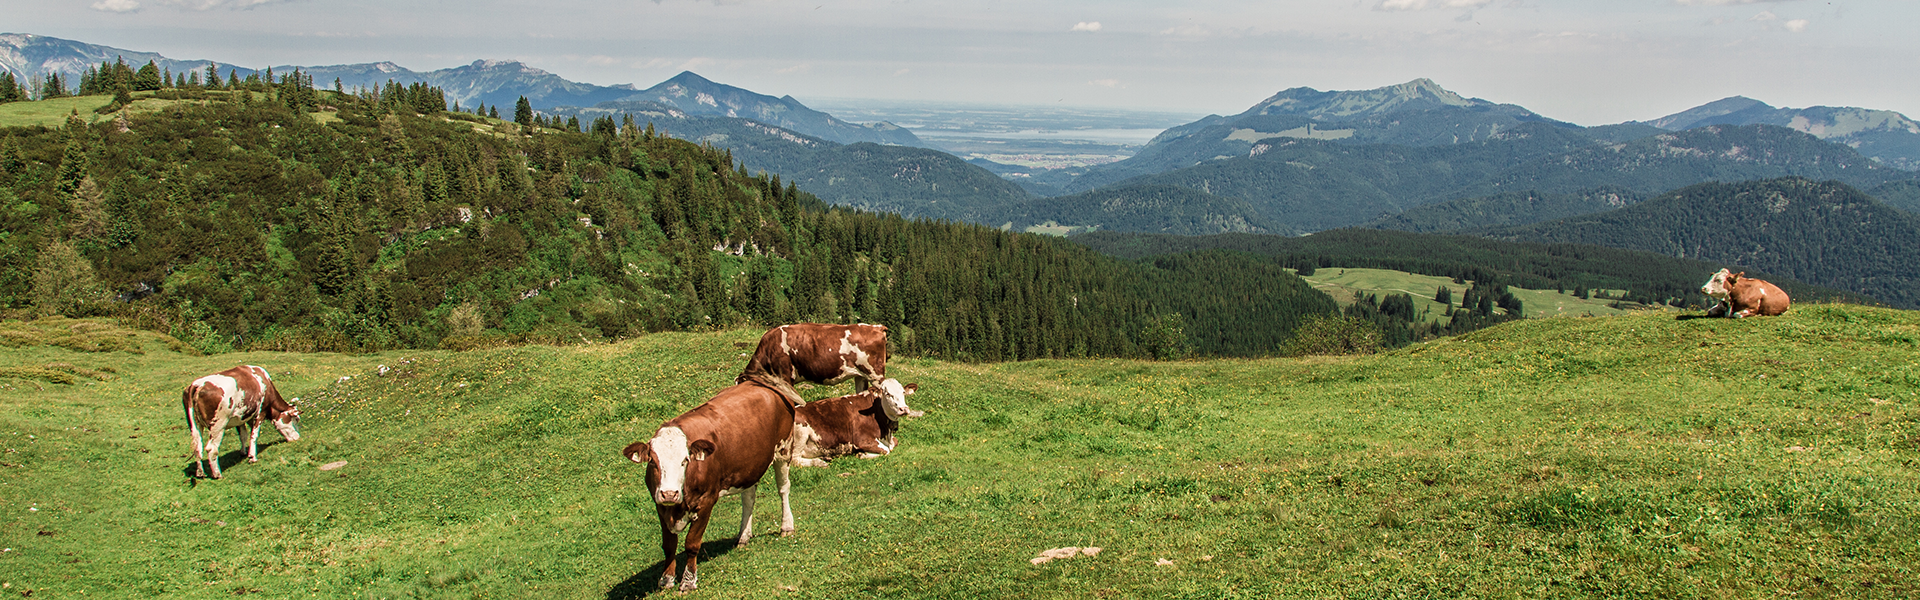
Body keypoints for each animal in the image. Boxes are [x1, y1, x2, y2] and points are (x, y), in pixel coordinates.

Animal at [623, 381, 797, 592]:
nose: (669, 494)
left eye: (685, 460)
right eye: (653, 462)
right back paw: (743, 536)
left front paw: (688, 581)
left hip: (783, 450)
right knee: (748, 498)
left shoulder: (706, 501)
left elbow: (691, 544)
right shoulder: (660, 505)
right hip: (749, 466)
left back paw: (786, 526)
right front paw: (666, 579)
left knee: (783, 489)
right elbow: (669, 545)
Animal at [776, 378, 920, 536]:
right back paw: (820, 462)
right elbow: (886, 450)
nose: (904, 409)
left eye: (903, 392)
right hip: (799, 435)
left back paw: (826, 458)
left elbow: (894, 443)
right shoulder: (861, 440)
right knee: (795, 460)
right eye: (888, 394)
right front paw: (862, 454)